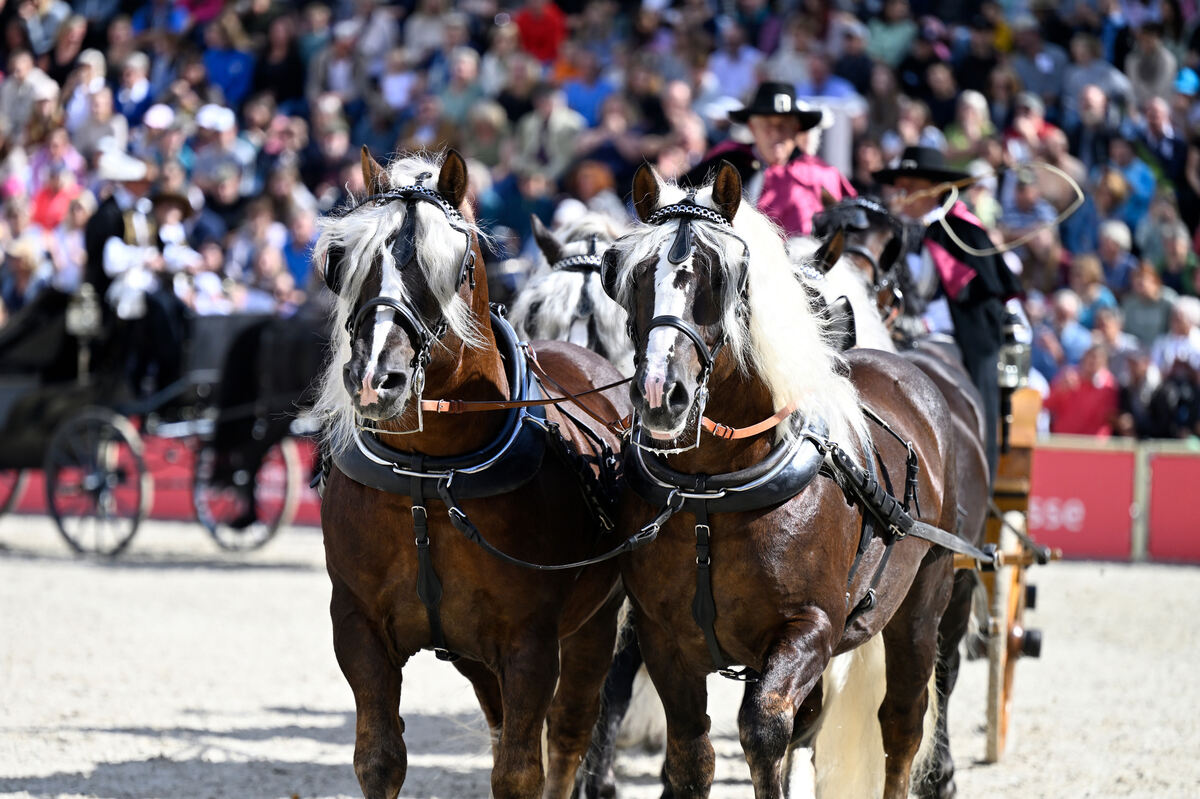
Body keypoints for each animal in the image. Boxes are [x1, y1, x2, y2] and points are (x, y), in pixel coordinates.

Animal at [314, 147, 633, 791]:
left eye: (456, 266)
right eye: (341, 262)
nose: (375, 379)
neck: (429, 478)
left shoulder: (530, 645)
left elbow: (522, 772)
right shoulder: (358, 629)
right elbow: (379, 760)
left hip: (593, 627)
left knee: (568, 736)